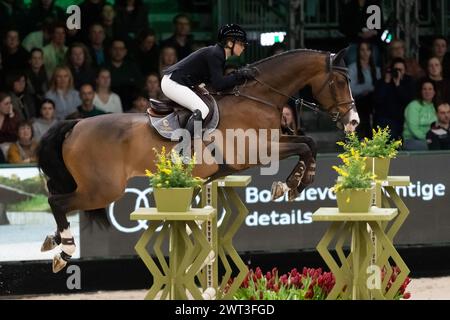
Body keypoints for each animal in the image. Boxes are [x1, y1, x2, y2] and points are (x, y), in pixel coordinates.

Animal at [37, 48, 358, 272]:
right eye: (340, 81)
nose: (353, 121)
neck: (257, 98)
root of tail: (75, 125)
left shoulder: (272, 142)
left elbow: (308, 143)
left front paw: (293, 184)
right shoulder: (257, 150)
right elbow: (305, 146)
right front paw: (293, 184)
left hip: (95, 189)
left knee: (60, 202)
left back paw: (54, 239)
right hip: (103, 190)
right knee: (57, 202)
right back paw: (65, 250)